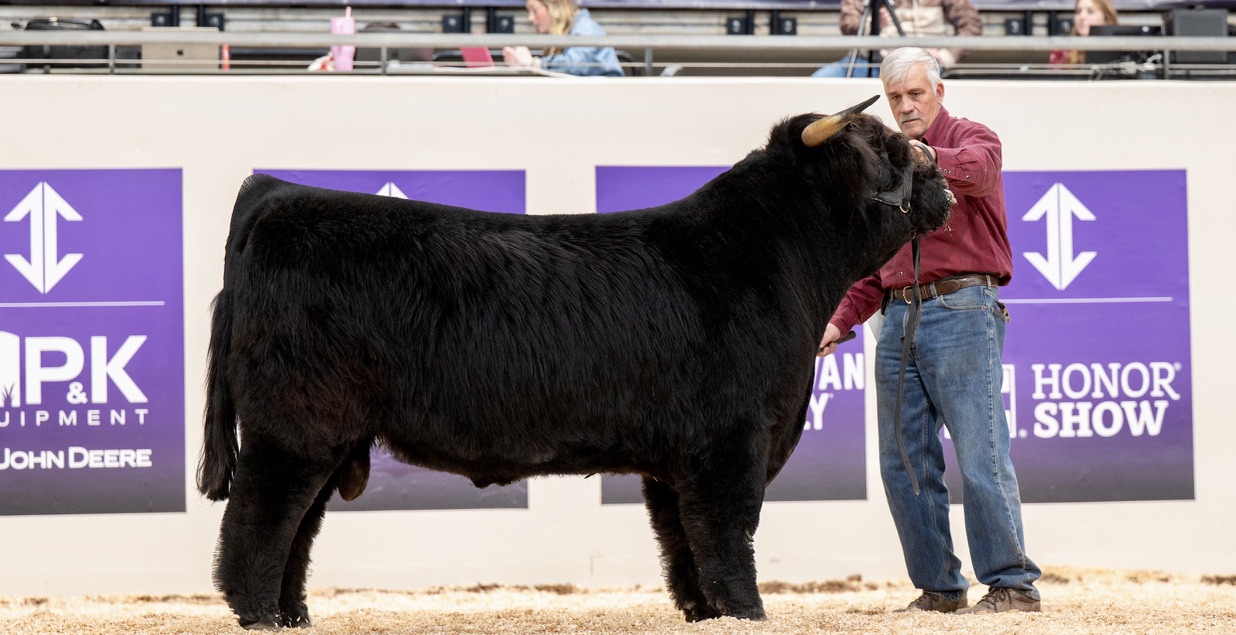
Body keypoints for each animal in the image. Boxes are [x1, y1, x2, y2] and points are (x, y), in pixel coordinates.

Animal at [198, 96, 953, 630]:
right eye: (886, 149)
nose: (944, 178)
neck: (773, 256)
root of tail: (275, 193)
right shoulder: (731, 440)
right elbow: (727, 531)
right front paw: (748, 612)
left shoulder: (679, 457)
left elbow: (683, 542)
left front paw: (705, 614)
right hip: (295, 427)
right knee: (259, 518)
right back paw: (261, 614)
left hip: (325, 434)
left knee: (297, 525)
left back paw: (294, 615)